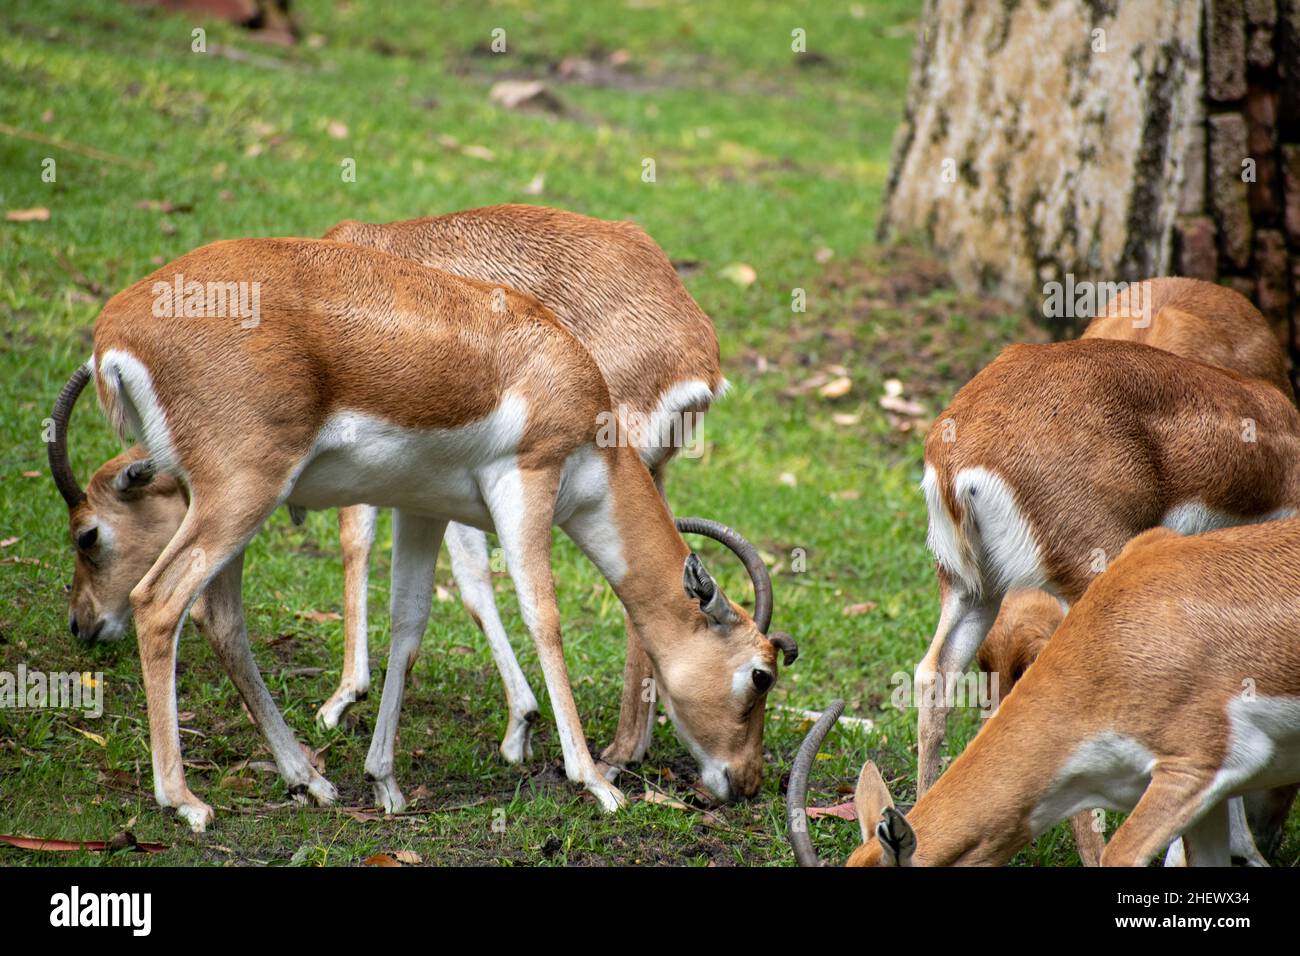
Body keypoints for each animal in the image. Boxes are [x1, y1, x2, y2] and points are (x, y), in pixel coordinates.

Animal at [50, 239, 795, 832]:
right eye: (760, 675)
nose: (746, 782)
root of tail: (118, 328)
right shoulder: (526, 484)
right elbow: (544, 617)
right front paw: (596, 784)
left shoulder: (422, 510)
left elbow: (409, 627)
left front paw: (385, 782)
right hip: (241, 495)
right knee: (159, 604)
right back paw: (186, 801)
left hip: (227, 504)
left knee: (220, 616)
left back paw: (310, 779)